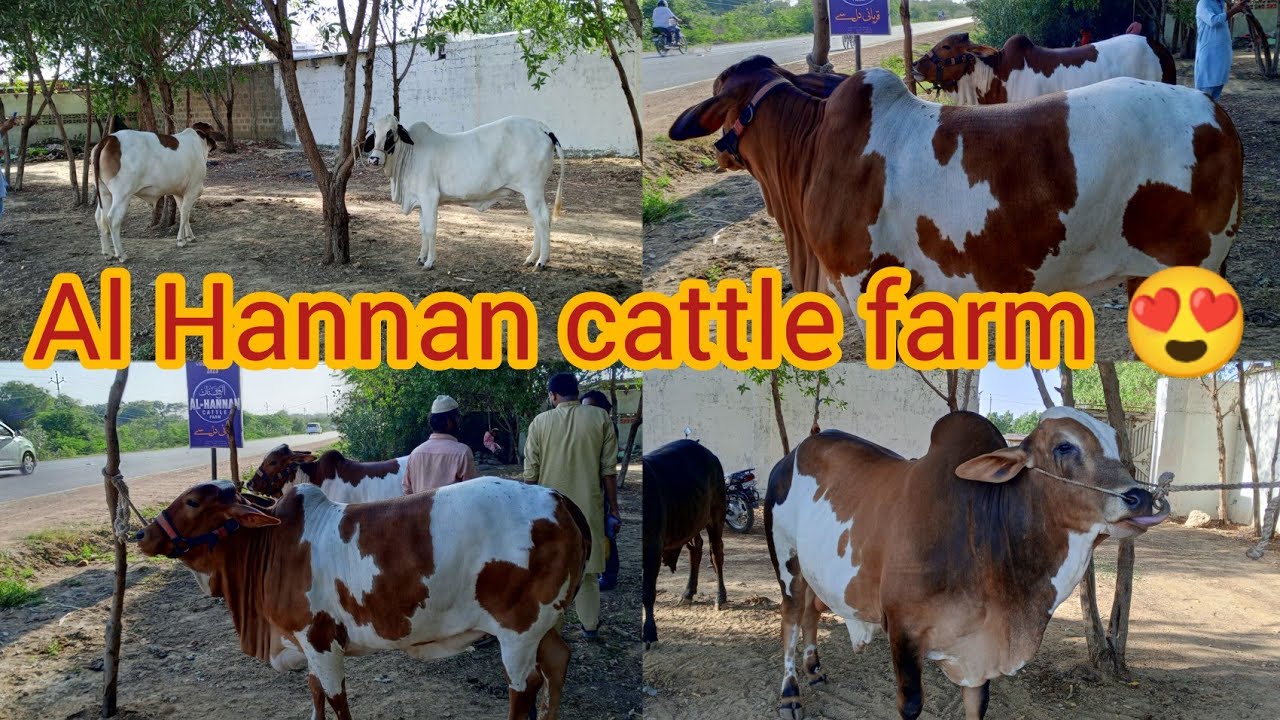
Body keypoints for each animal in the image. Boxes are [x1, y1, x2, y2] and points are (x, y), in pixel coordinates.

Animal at [92, 121, 224, 262]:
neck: (198, 143)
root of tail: (109, 138)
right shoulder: (192, 189)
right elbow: (184, 213)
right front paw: (181, 240)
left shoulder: (178, 192)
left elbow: (185, 213)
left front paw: (189, 236)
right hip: (122, 193)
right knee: (112, 218)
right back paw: (121, 254)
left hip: (104, 192)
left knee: (100, 217)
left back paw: (107, 253)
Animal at [136, 477, 590, 720]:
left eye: (193, 501)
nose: (144, 533)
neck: (270, 545)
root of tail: (556, 497)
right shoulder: (308, 643)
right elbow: (315, 691)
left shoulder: (320, 640)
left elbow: (336, 699)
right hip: (543, 623)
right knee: (557, 662)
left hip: (518, 629)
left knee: (523, 686)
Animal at [362, 113, 566, 271]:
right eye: (375, 132)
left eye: (391, 132)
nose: (374, 159)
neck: (410, 153)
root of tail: (541, 126)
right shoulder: (421, 201)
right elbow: (423, 229)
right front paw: (421, 258)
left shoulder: (430, 197)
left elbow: (431, 229)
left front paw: (429, 262)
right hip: (529, 194)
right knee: (537, 222)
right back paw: (532, 258)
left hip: (533, 190)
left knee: (542, 220)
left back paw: (541, 261)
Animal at [641, 439, 728, 649]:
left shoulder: (652, 545)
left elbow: (648, 591)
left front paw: (650, 633)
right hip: (691, 520)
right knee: (695, 549)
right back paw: (688, 592)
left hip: (716, 515)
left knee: (716, 553)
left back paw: (720, 597)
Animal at [764, 407, 1169, 719]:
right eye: (1064, 446)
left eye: (1117, 443)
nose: (1140, 497)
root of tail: (793, 452)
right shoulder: (904, 633)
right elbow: (911, 704)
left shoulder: (978, 654)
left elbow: (977, 705)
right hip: (786, 562)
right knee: (790, 618)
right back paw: (790, 694)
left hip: (817, 572)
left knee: (811, 612)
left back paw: (815, 671)